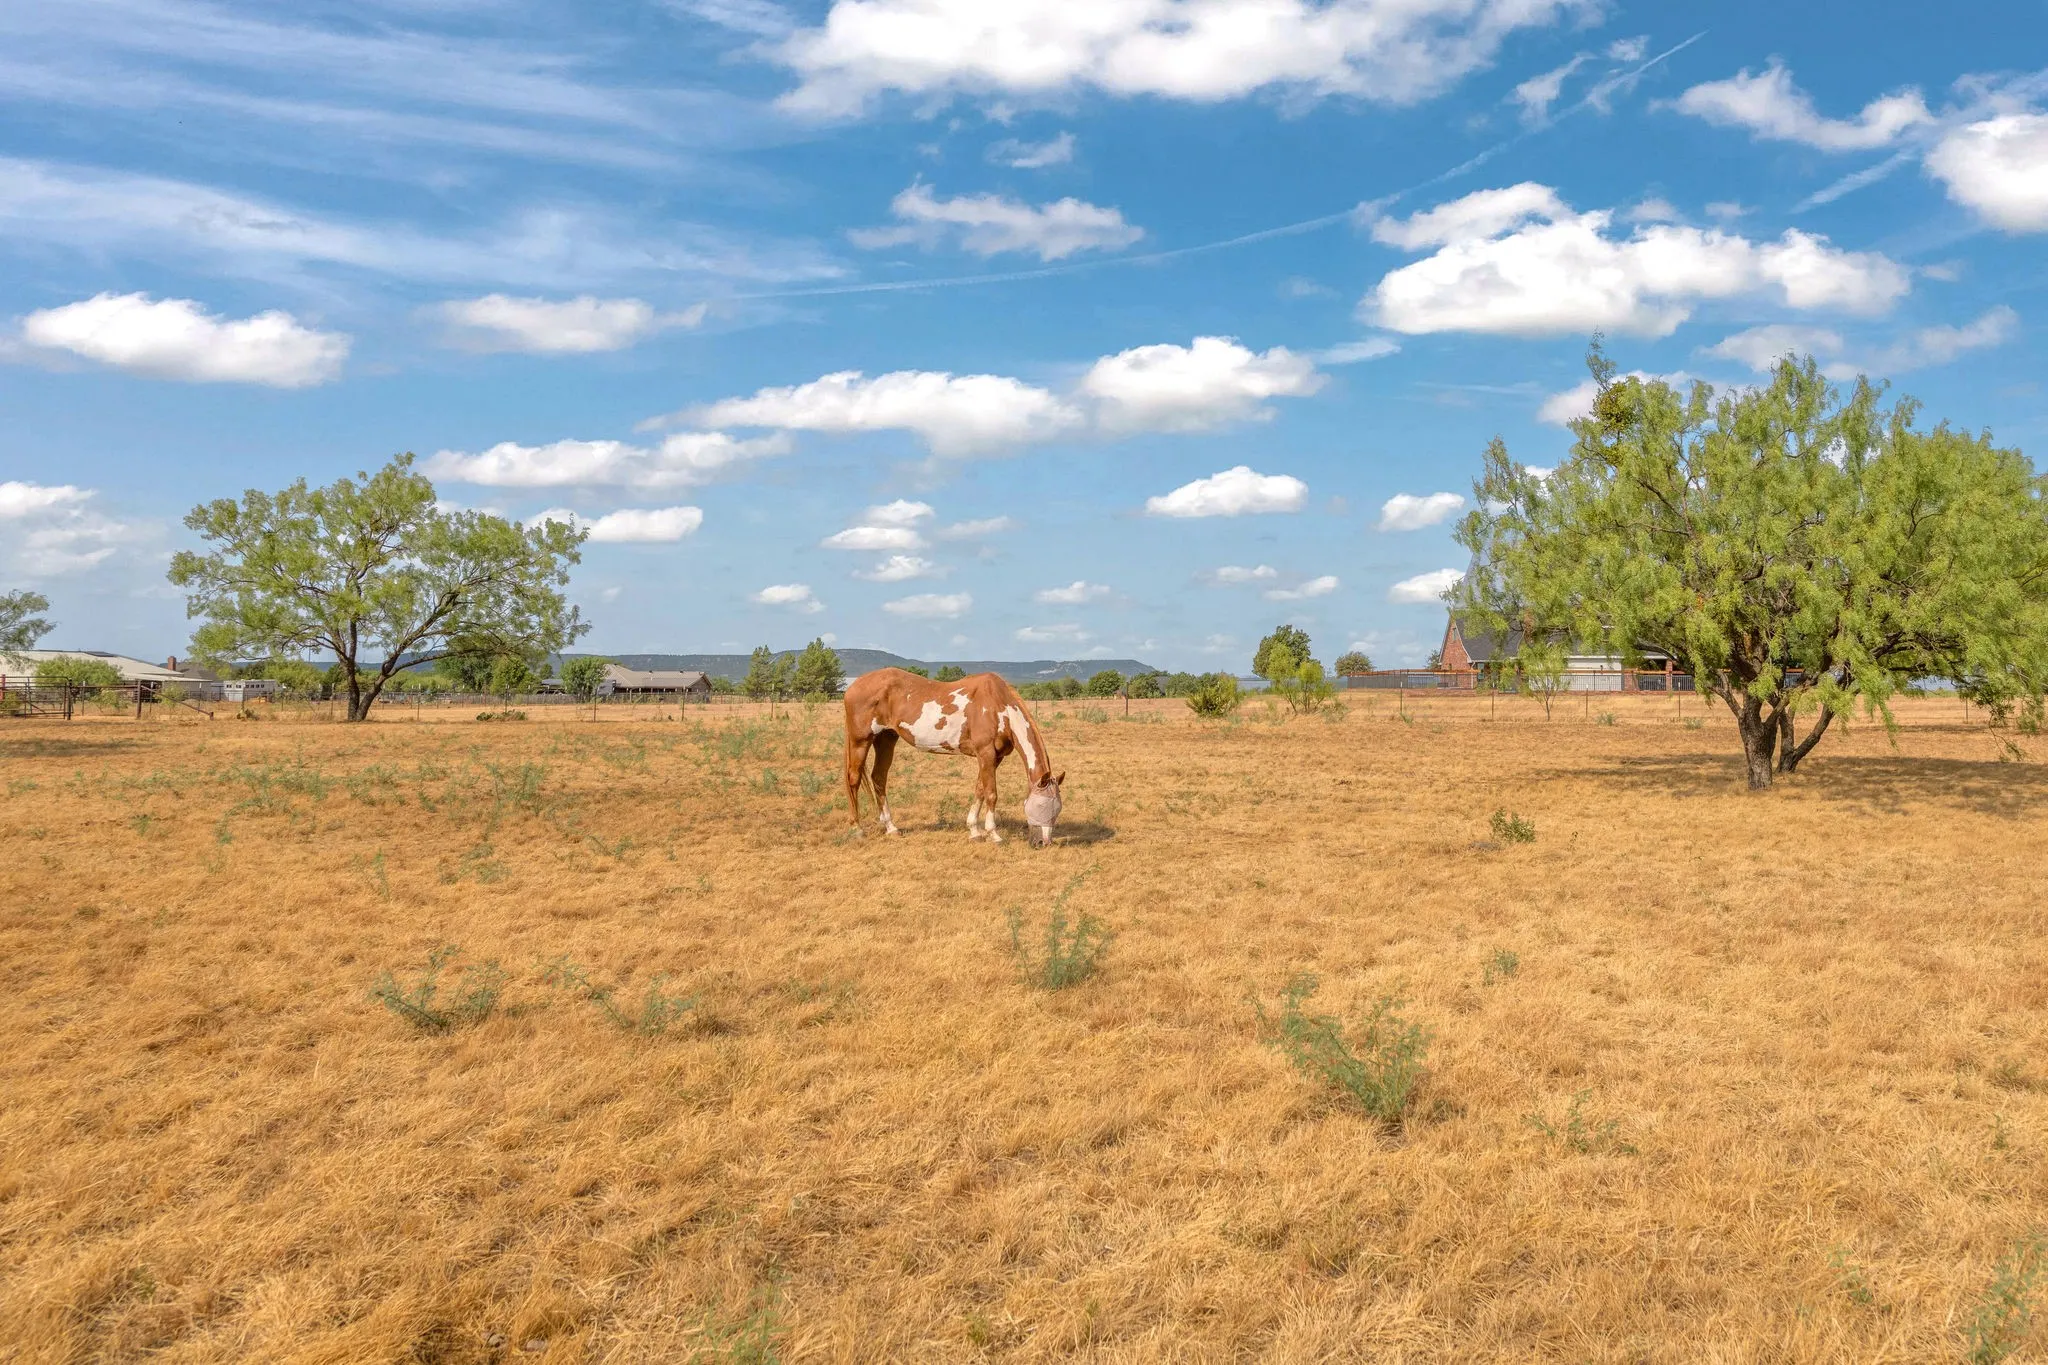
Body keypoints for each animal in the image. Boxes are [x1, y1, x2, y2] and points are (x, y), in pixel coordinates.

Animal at [842, 668, 1064, 845]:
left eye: (1058, 809)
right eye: (1041, 805)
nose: (1043, 843)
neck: (998, 707)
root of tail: (853, 686)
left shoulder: (994, 758)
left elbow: (980, 790)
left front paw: (974, 831)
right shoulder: (985, 754)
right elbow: (991, 794)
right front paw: (994, 835)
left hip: (886, 738)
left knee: (879, 778)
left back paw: (891, 828)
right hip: (860, 741)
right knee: (854, 779)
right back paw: (856, 829)